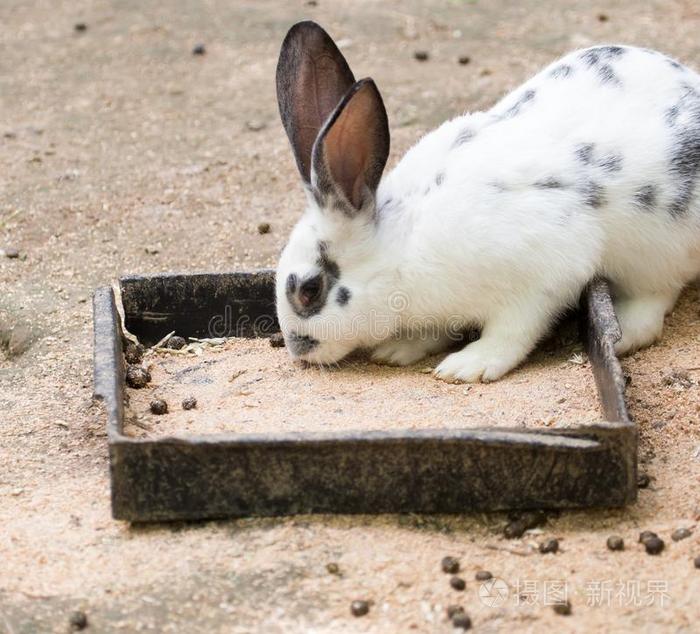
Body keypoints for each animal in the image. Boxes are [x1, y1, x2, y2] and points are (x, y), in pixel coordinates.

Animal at [272, 21, 700, 380]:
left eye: (309, 291)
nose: (297, 350)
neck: (401, 252)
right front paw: (398, 350)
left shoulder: (543, 277)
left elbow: (513, 331)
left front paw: (467, 366)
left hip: (654, 249)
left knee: (655, 299)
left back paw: (625, 332)